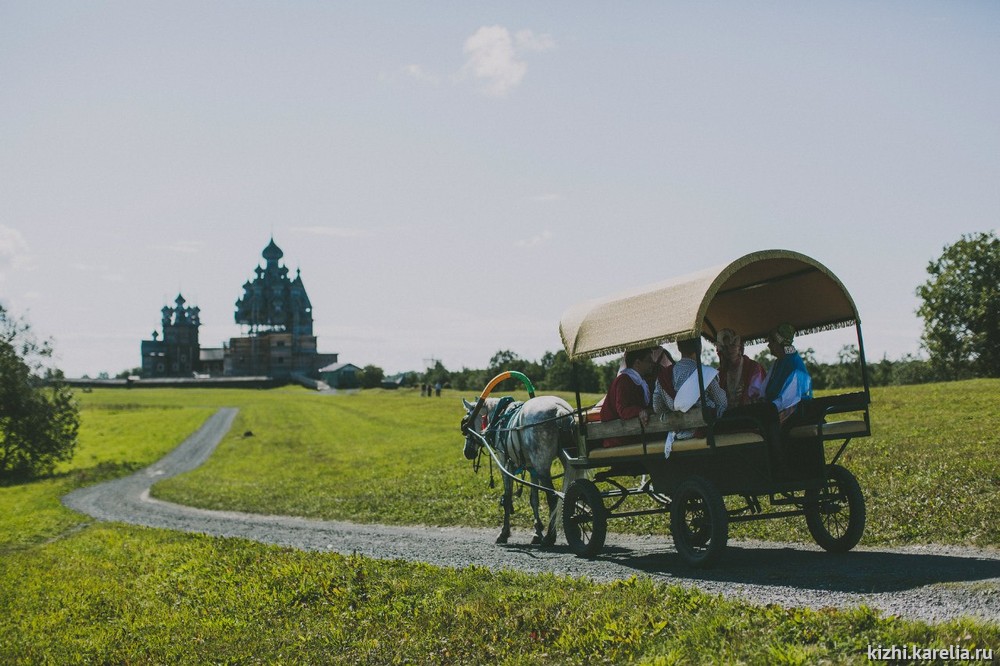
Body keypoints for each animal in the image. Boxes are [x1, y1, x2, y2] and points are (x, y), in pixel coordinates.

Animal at [462, 394, 580, 544]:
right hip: (566, 460)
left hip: (542, 467)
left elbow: (507, 497)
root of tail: (559, 409)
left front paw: (504, 533)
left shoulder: (506, 463)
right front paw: (537, 532)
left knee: (552, 498)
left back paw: (550, 536)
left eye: (467, 419)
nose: (467, 452)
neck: (499, 416)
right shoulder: (532, 469)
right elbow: (534, 499)